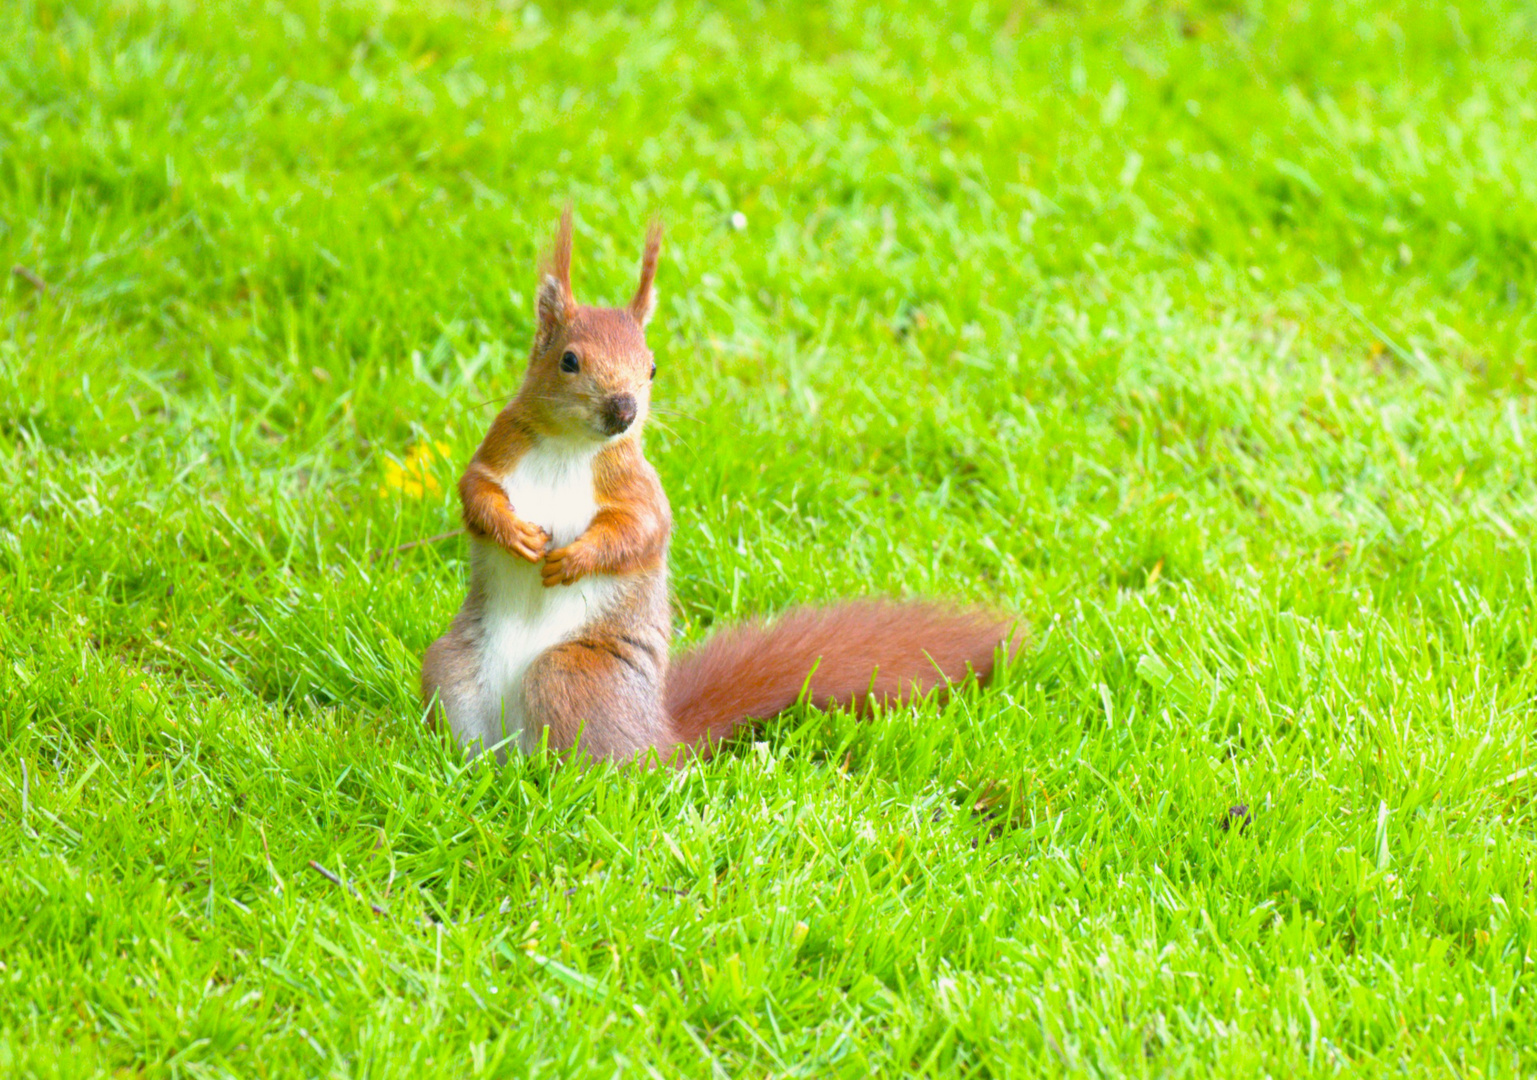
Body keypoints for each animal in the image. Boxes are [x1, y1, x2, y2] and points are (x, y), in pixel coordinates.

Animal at [424, 212, 1020, 765]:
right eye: (569, 360)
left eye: (652, 368)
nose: (624, 410)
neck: (571, 445)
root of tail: (660, 740)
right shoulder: (499, 450)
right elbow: (475, 494)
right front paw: (513, 533)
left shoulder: (639, 488)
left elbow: (639, 531)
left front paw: (576, 559)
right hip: (452, 672)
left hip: (572, 675)